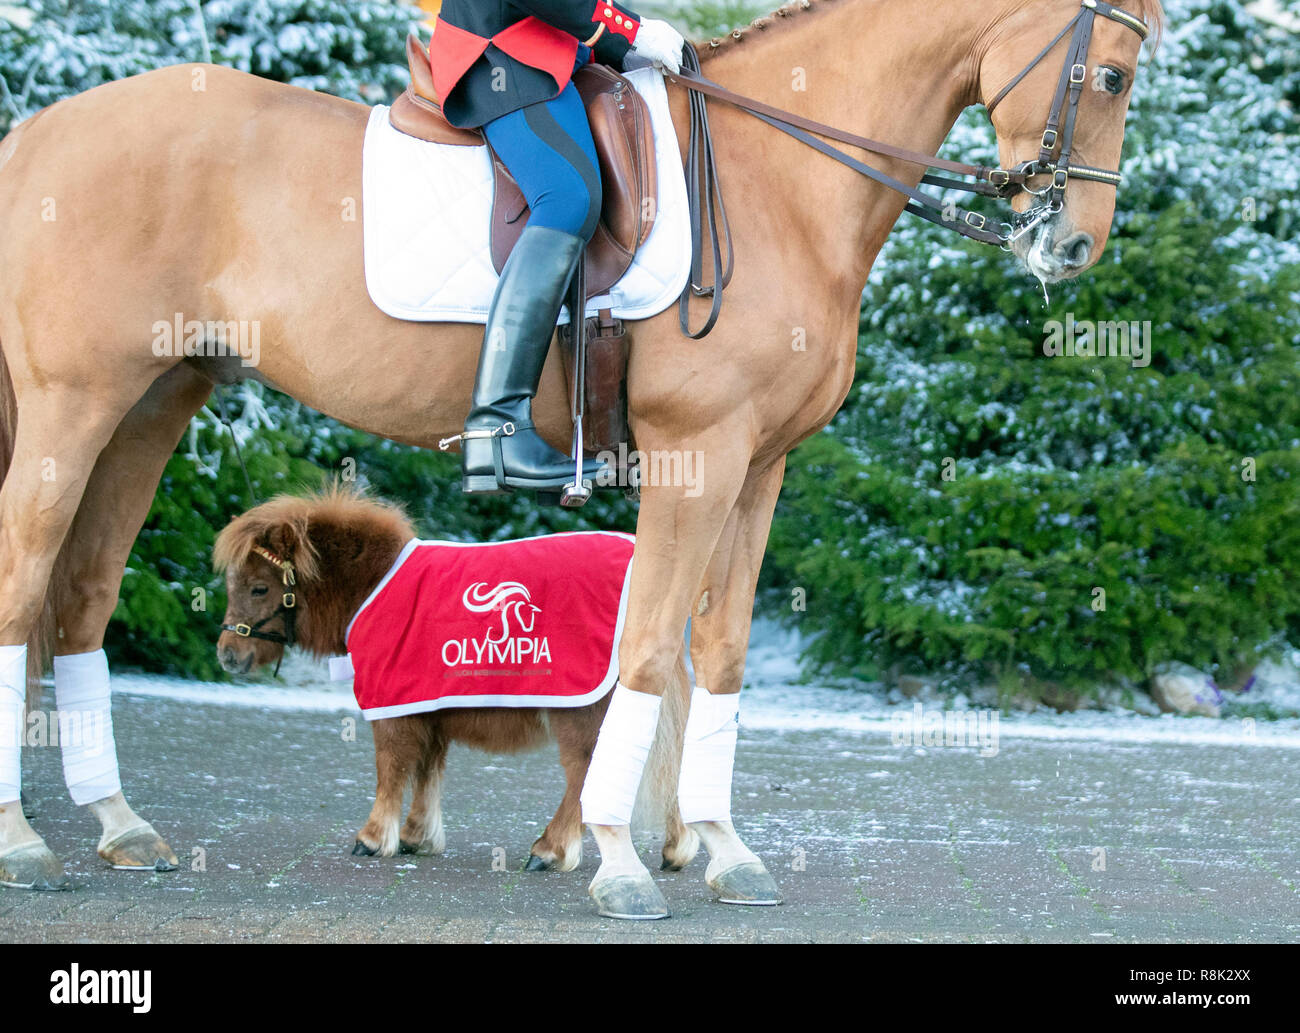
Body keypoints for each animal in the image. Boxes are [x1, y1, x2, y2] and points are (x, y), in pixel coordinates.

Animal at [0, 2, 1159, 899]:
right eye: (1109, 72)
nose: (1073, 246)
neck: (778, 181)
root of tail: (38, 135)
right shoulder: (698, 458)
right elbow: (644, 651)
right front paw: (618, 857)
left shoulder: (759, 468)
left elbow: (718, 652)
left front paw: (722, 848)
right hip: (74, 408)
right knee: (24, 587)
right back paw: (24, 842)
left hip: (155, 404)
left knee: (82, 595)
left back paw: (119, 825)